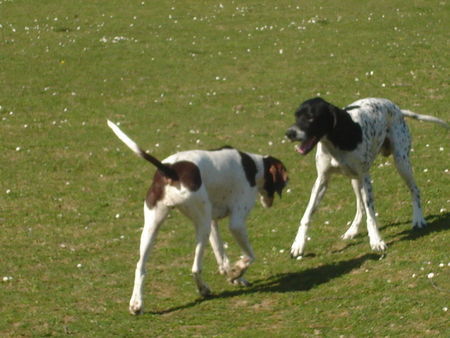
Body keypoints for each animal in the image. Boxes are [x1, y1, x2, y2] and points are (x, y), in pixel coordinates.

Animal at [107, 121, 286, 314]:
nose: (270, 203)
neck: (254, 167)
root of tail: (170, 169)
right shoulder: (235, 223)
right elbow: (250, 256)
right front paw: (238, 271)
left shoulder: (213, 223)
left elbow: (223, 260)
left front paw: (234, 277)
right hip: (202, 226)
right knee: (195, 269)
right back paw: (204, 290)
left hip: (154, 228)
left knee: (140, 267)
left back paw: (136, 304)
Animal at [286, 96, 448, 258]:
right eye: (296, 116)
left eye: (310, 117)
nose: (289, 133)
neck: (336, 142)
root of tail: (397, 108)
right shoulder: (322, 181)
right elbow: (307, 215)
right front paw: (299, 243)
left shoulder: (366, 179)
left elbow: (371, 215)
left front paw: (376, 241)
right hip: (355, 181)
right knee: (360, 207)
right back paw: (352, 230)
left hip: (401, 163)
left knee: (415, 190)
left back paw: (418, 218)